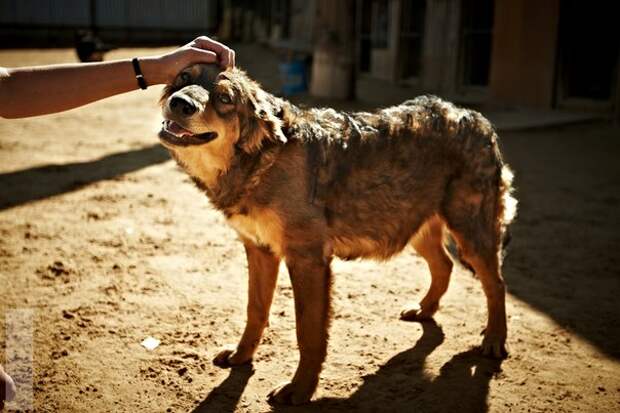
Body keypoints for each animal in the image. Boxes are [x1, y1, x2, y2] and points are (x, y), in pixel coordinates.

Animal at [157, 63, 516, 402]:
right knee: (445, 265)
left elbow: (308, 333)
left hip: (469, 234)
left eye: (224, 99)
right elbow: (255, 311)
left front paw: (299, 390)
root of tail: (475, 117)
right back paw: (425, 310)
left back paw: (494, 340)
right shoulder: (260, 250)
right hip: (416, 228)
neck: (262, 161)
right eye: (183, 77)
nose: (180, 103)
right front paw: (241, 357)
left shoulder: (307, 260)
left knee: (496, 284)